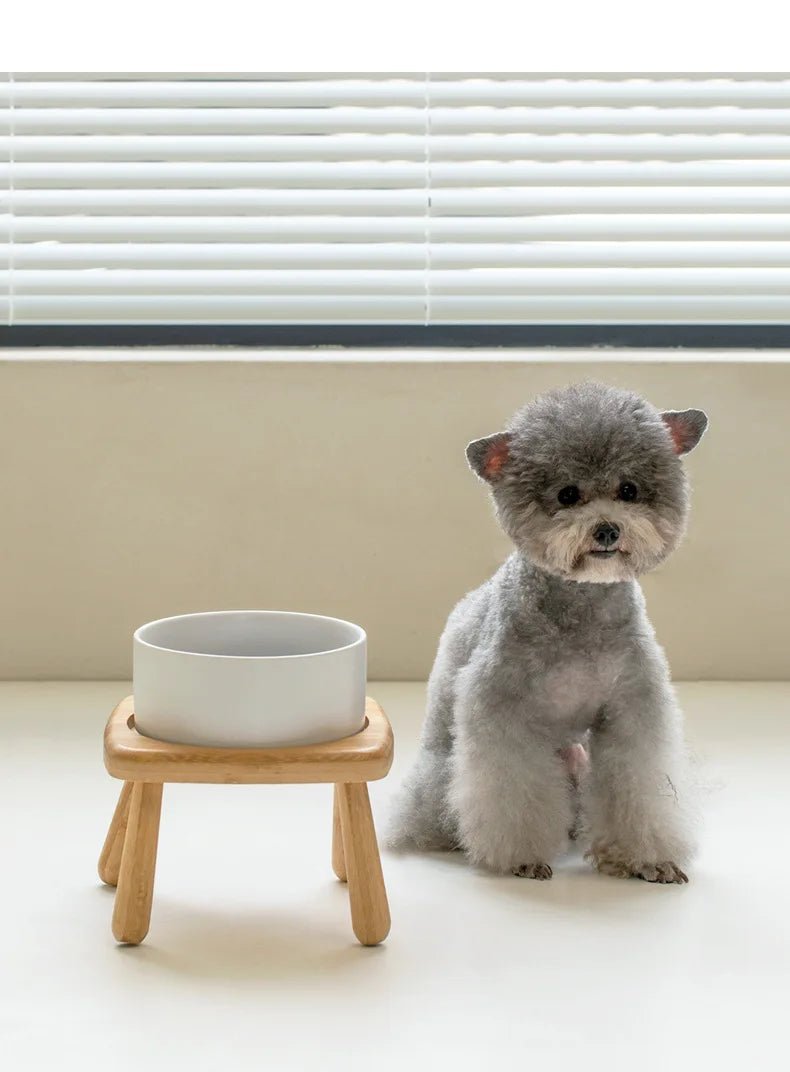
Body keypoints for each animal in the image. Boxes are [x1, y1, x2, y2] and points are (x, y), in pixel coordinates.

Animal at [388, 381, 707, 883]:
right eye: (567, 494)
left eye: (629, 489)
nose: (607, 530)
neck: (581, 614)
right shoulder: (503, 712)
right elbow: (511, 792)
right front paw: (521, 857)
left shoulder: (632, 710)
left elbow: (637, 784)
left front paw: (645, 859)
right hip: (445, 775)